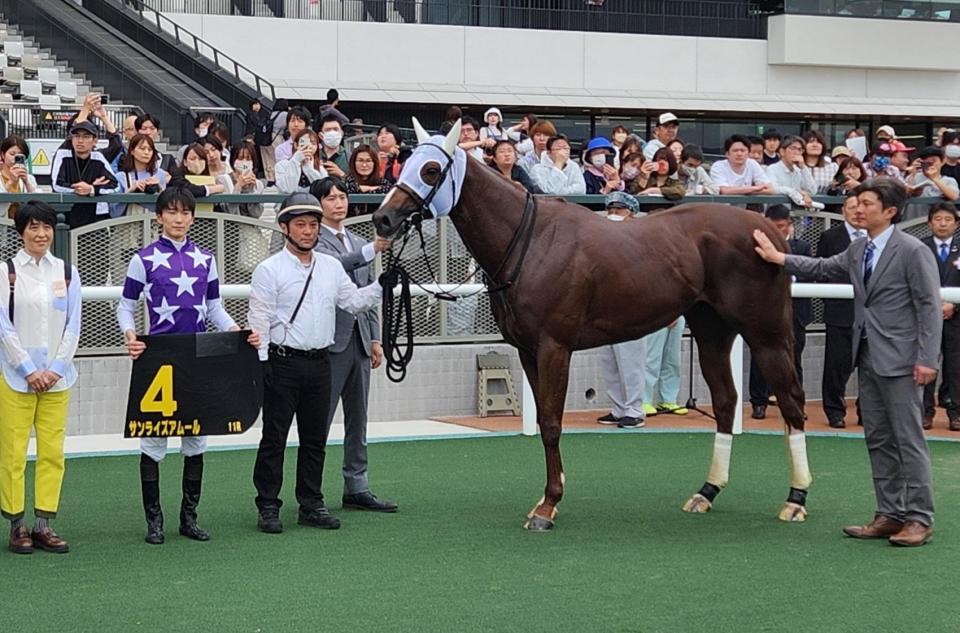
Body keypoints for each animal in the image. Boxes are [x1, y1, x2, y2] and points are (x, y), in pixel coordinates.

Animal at [372, 121, 812, 532]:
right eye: (404, 163)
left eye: (430, 169)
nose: (382, 218)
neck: (531, 242)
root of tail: (769, 235)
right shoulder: (528, 352)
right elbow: (545, 422)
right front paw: (546, 499)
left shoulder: (554, 347)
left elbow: (552, 424)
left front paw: (548, 506)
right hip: (712, 332)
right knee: (724, 401)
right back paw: (707, 491)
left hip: (767, 334)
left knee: (791, 402)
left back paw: (795, 498)